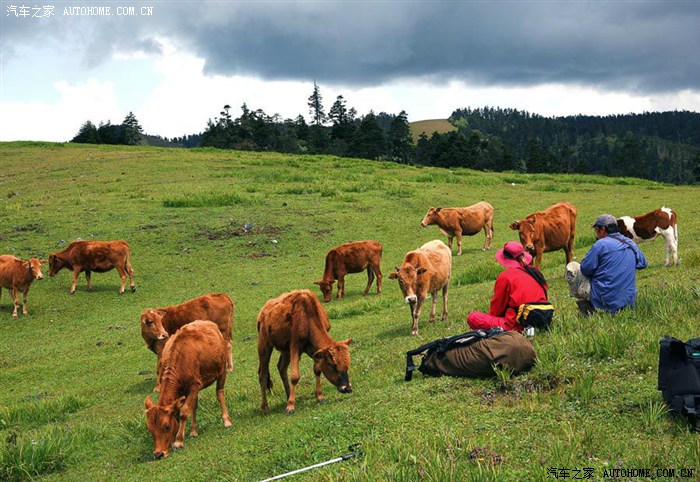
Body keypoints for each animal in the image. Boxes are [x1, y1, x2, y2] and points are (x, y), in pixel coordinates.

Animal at [144, 320, 232, 459]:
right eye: (150, 429)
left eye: (166, 427)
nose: (158, 454)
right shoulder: (184, 391)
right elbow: (187, 409)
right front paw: (185, 433)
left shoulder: (194, 385)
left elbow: (184, 411)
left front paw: (178, 441)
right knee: (195, 405)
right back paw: (194, 430)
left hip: (222, 372)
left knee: (220, 393)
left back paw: (226, 420)